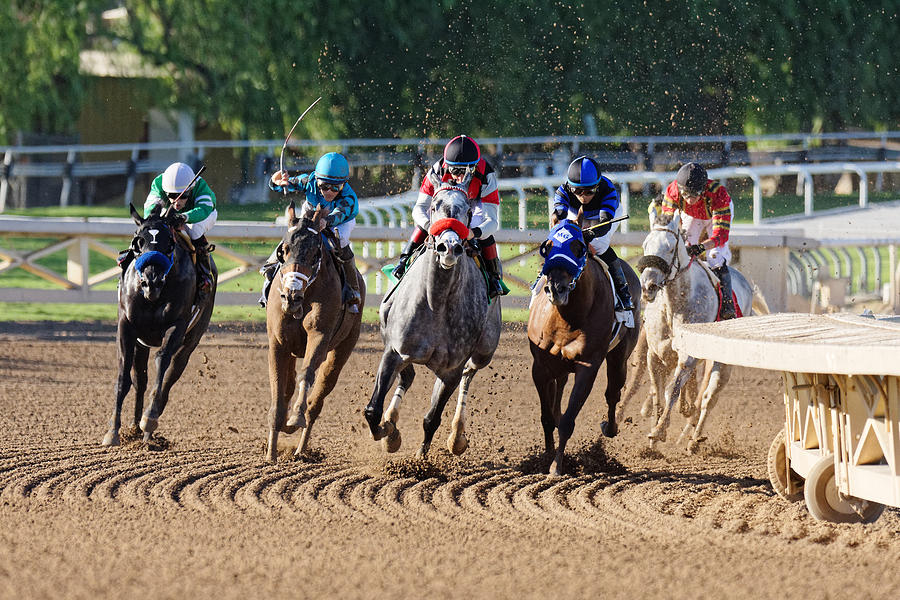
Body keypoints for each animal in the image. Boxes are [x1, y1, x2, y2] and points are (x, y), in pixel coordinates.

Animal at [101, 205, 218, 446]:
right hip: (142, 342)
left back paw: (148, 428)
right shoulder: (127, 326)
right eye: (138, 241)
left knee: (171, 373)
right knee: (141, 379)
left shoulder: (177, 325)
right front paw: (113, 431)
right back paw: (135, 428)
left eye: (170, 243)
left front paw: (149, 419)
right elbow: (124, 377)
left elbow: (162, 362)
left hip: (192, 338)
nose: (151, 282)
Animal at [264, 200, 366, 460]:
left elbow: (307, 374)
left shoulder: (319, 336)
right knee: (288, 386)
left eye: (314, 252)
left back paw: (301, 449)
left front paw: (295, 418)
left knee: (316, 400)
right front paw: (270, 455)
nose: (291, 295)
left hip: (342, 349)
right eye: (284, 249)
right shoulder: (278, 344)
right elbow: (278, 392)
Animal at [368, 185, 506, 458]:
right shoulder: (394, 351)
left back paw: (457, 436)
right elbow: (373, 411)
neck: (436, 301)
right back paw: (392, 422)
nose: (449, 247)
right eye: (434, 206)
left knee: (468, 375)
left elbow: (432, 418)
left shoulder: (450, 370)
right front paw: (387, 432)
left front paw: (421, 458)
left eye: (469, 211)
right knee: (407, 376)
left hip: (484, 352)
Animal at [528, 218, 640, 476]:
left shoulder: (588, 366)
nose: (556, 288)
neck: (567, 317)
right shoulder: (540, 367)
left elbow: (568, 421)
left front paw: (556, 466)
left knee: (613, 393)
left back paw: (610, 427)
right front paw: (545, 458)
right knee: (559, 390)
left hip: (620, 356)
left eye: (578, 247)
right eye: (548, 246)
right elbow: (547, 417)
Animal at [636, 211, 768, 450]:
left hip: (723, 362)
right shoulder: (656, 356)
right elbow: (658, 392)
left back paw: (694, 441)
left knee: (709, 398)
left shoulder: (687, 357)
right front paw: (651, 443)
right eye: (645, 245)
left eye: (669, 247)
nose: (647, 286)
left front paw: (659, 431)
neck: (675, 305)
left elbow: (671, 390)